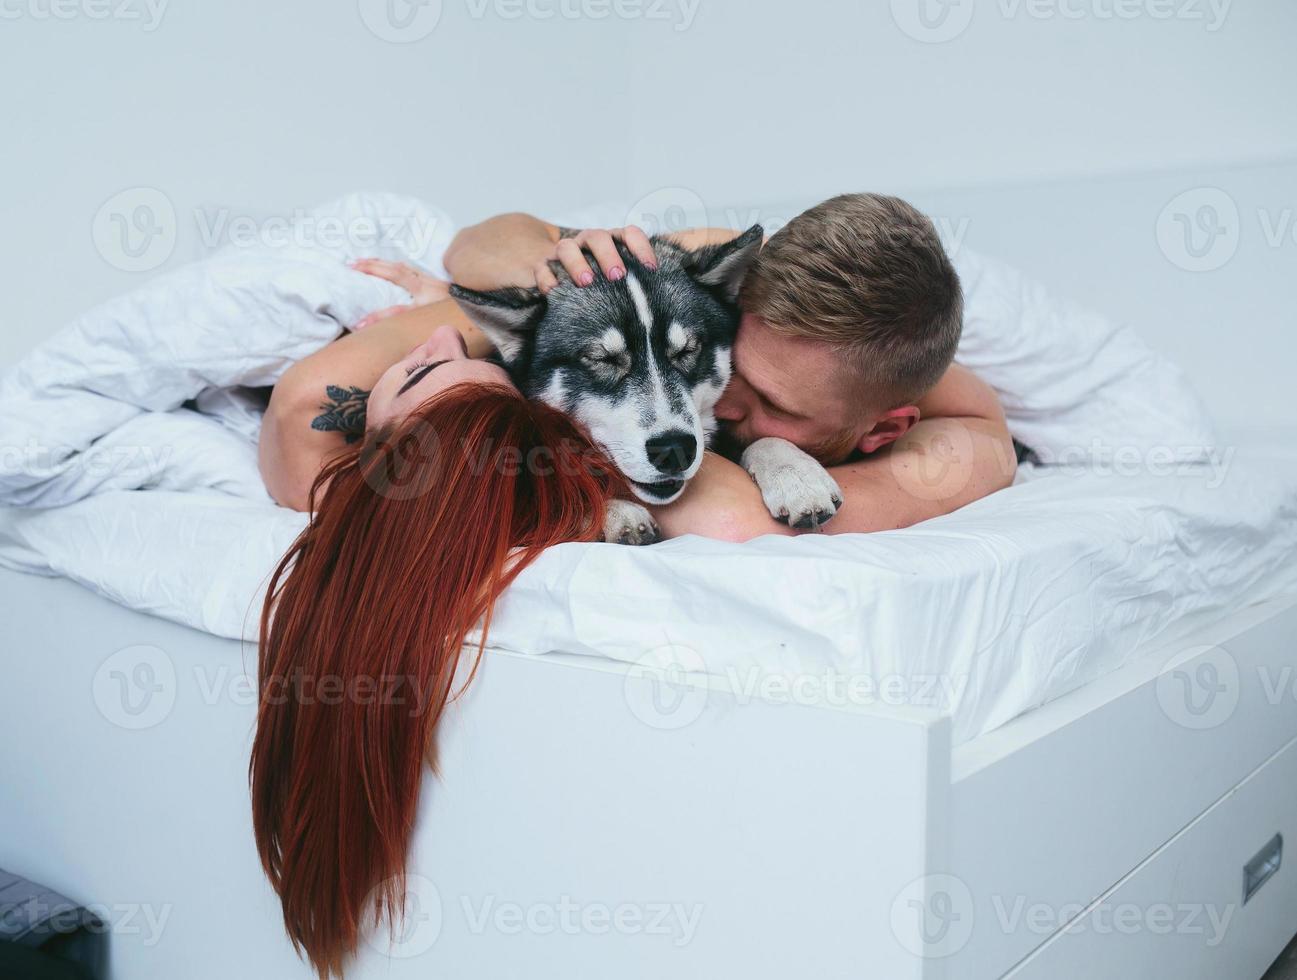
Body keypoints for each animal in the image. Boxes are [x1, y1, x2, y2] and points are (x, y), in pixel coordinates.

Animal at [453, 224, 840, 544]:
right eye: (602, 359)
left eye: (687, 350)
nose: (674, 449)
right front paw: (613, 510)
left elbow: (761, 438)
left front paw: (795, 473)